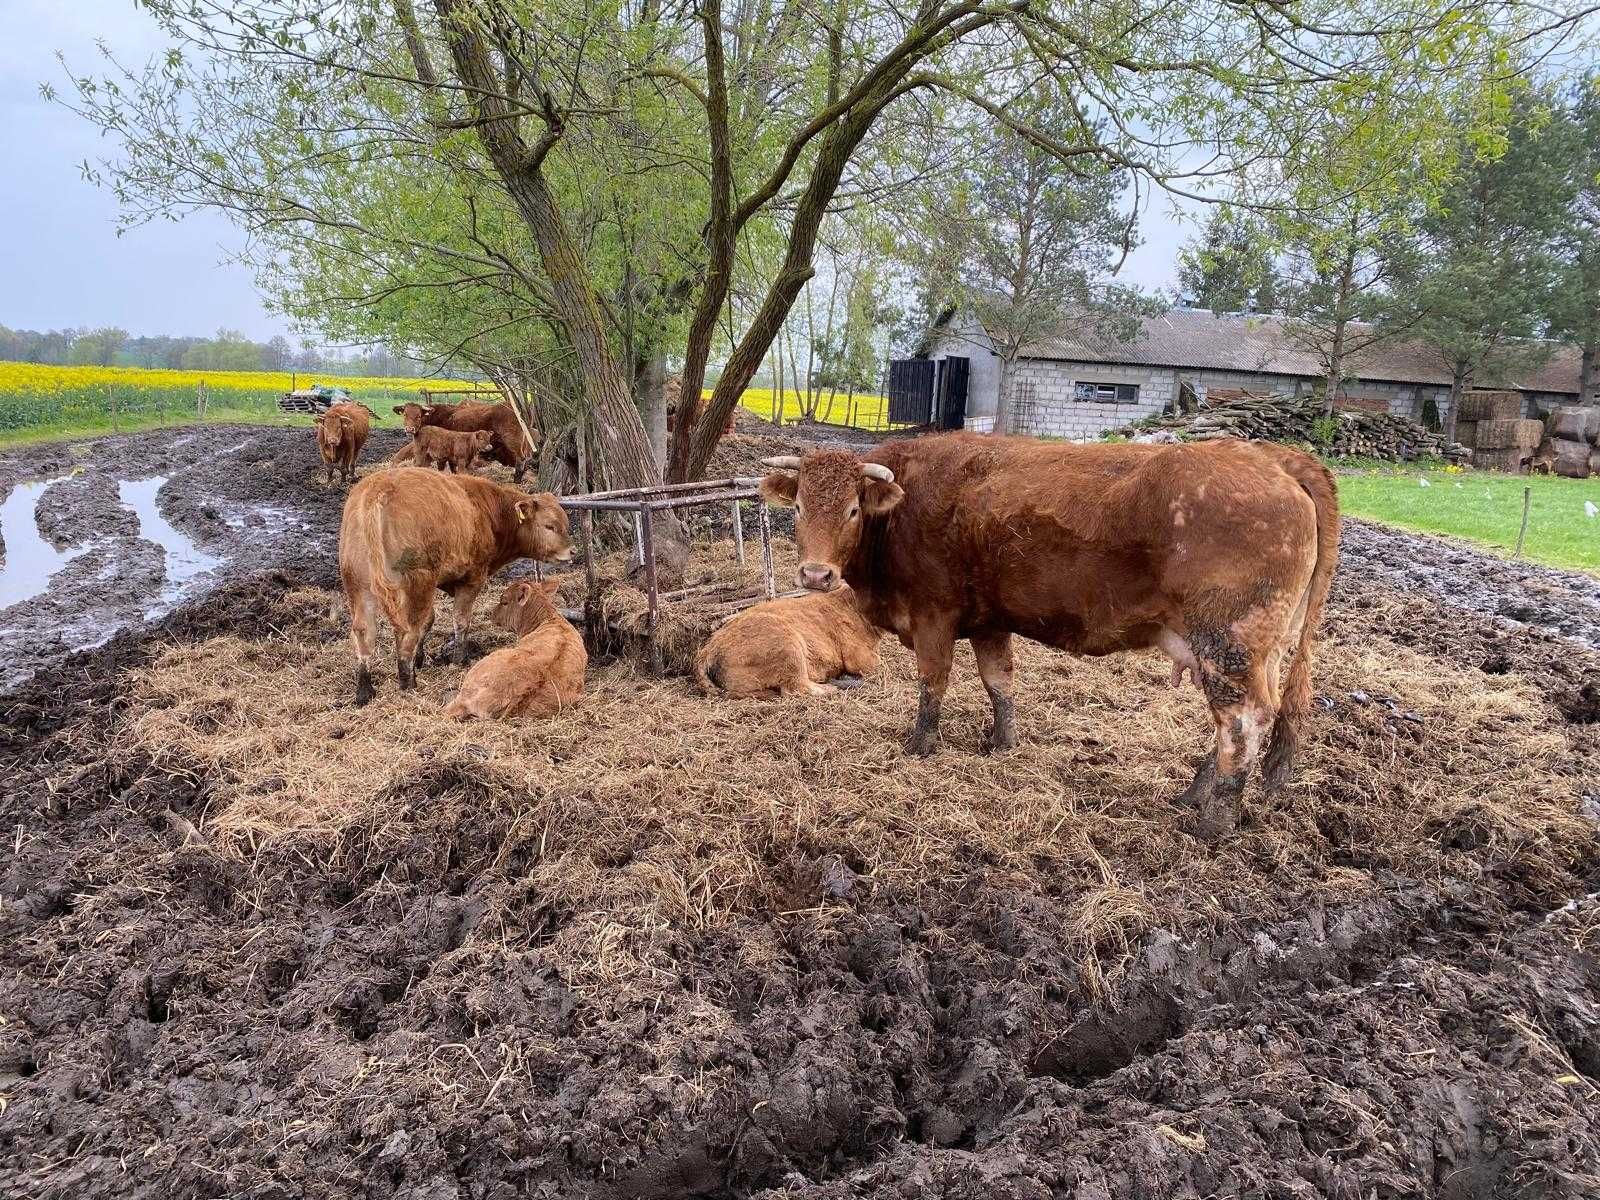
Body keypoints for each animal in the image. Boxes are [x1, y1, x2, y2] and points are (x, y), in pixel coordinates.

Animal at [340, 467, 579, 704]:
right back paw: (408, 683)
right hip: (416, 584)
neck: (487, 509)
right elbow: (461, 621)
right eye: (549, 526)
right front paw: (459, 658)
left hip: (358, 585)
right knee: (407, 631)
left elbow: (429, 620)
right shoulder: (471, 579)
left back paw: (365, 690)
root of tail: (378, 490)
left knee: (364, 631)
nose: (572, 551)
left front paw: (421, 658)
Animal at [390, 401, 534, 483]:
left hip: (513, 441)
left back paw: (517, 480)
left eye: (419, 415)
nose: (409, 429)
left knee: (521, 459)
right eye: (405, 414)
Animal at [758, 438, 1337, 838]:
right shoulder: (988, 621)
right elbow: (999, 682)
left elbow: (933, 682)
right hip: (1246, 650)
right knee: (1236, 723)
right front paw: (1002, 744)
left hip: (1229, 643)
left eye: (853, 509)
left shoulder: (933, 615)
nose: (815, 575)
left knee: (1243, 721)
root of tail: (1273, 457)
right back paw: (1193, 795)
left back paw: (1213, 821)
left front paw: (921, 746)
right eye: (798, 507)